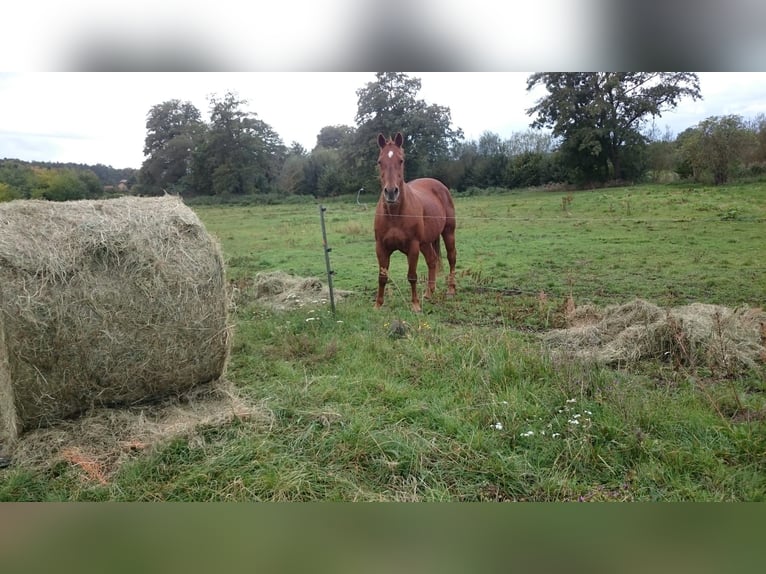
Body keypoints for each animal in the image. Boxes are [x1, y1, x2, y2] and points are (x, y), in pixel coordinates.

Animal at [373, 132, 457, 312]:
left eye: (401, 160)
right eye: (379, 161)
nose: (391, 192)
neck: (395, 214)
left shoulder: (413, 247)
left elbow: (412, 276)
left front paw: (415, 305)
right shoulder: (381, 247)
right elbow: (382, 276)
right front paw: (378, 304)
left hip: (448, 232)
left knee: (452, 257)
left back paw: (451, 290)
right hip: (425, 243)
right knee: (432, 261)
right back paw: (429, 292)